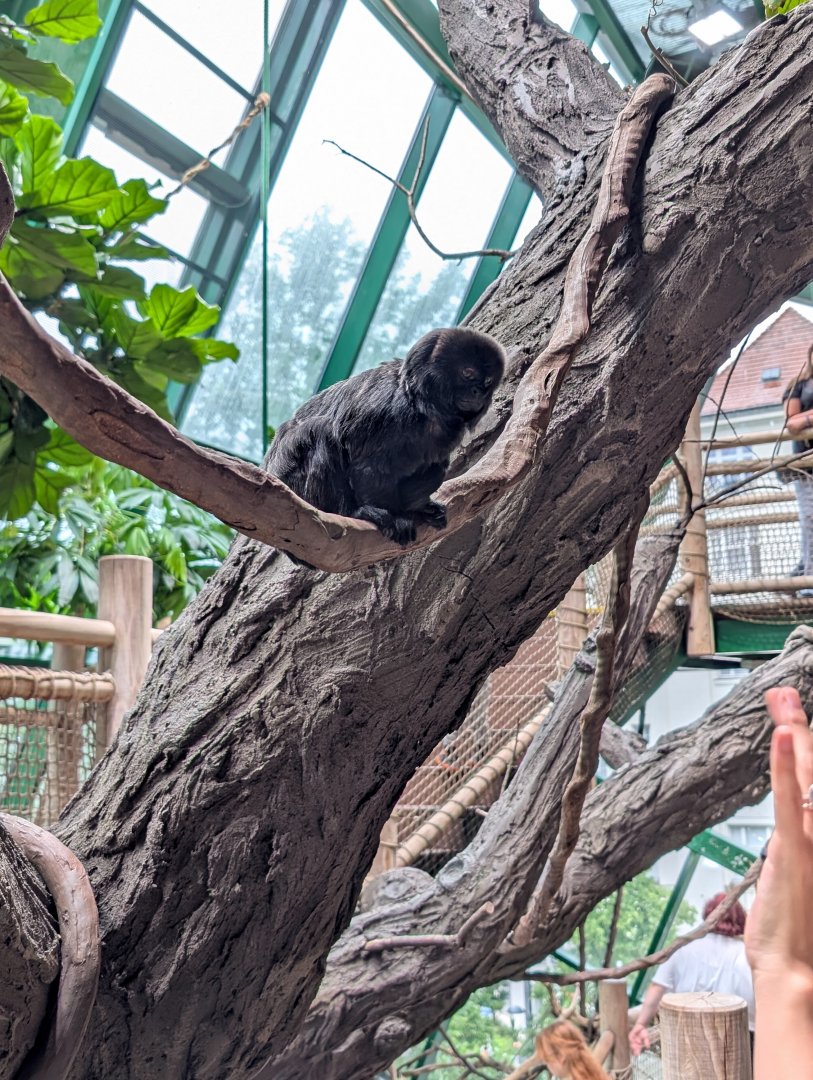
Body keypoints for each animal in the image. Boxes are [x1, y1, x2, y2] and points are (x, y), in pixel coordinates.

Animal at [266, 327, 505, 558]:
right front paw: (395, 517)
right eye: (468, 373)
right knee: (321, 432)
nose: (478, 392)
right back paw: (349, 512)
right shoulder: (383, 411)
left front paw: (419, 510)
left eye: (487, 382)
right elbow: (369, 467)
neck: (421, 406)